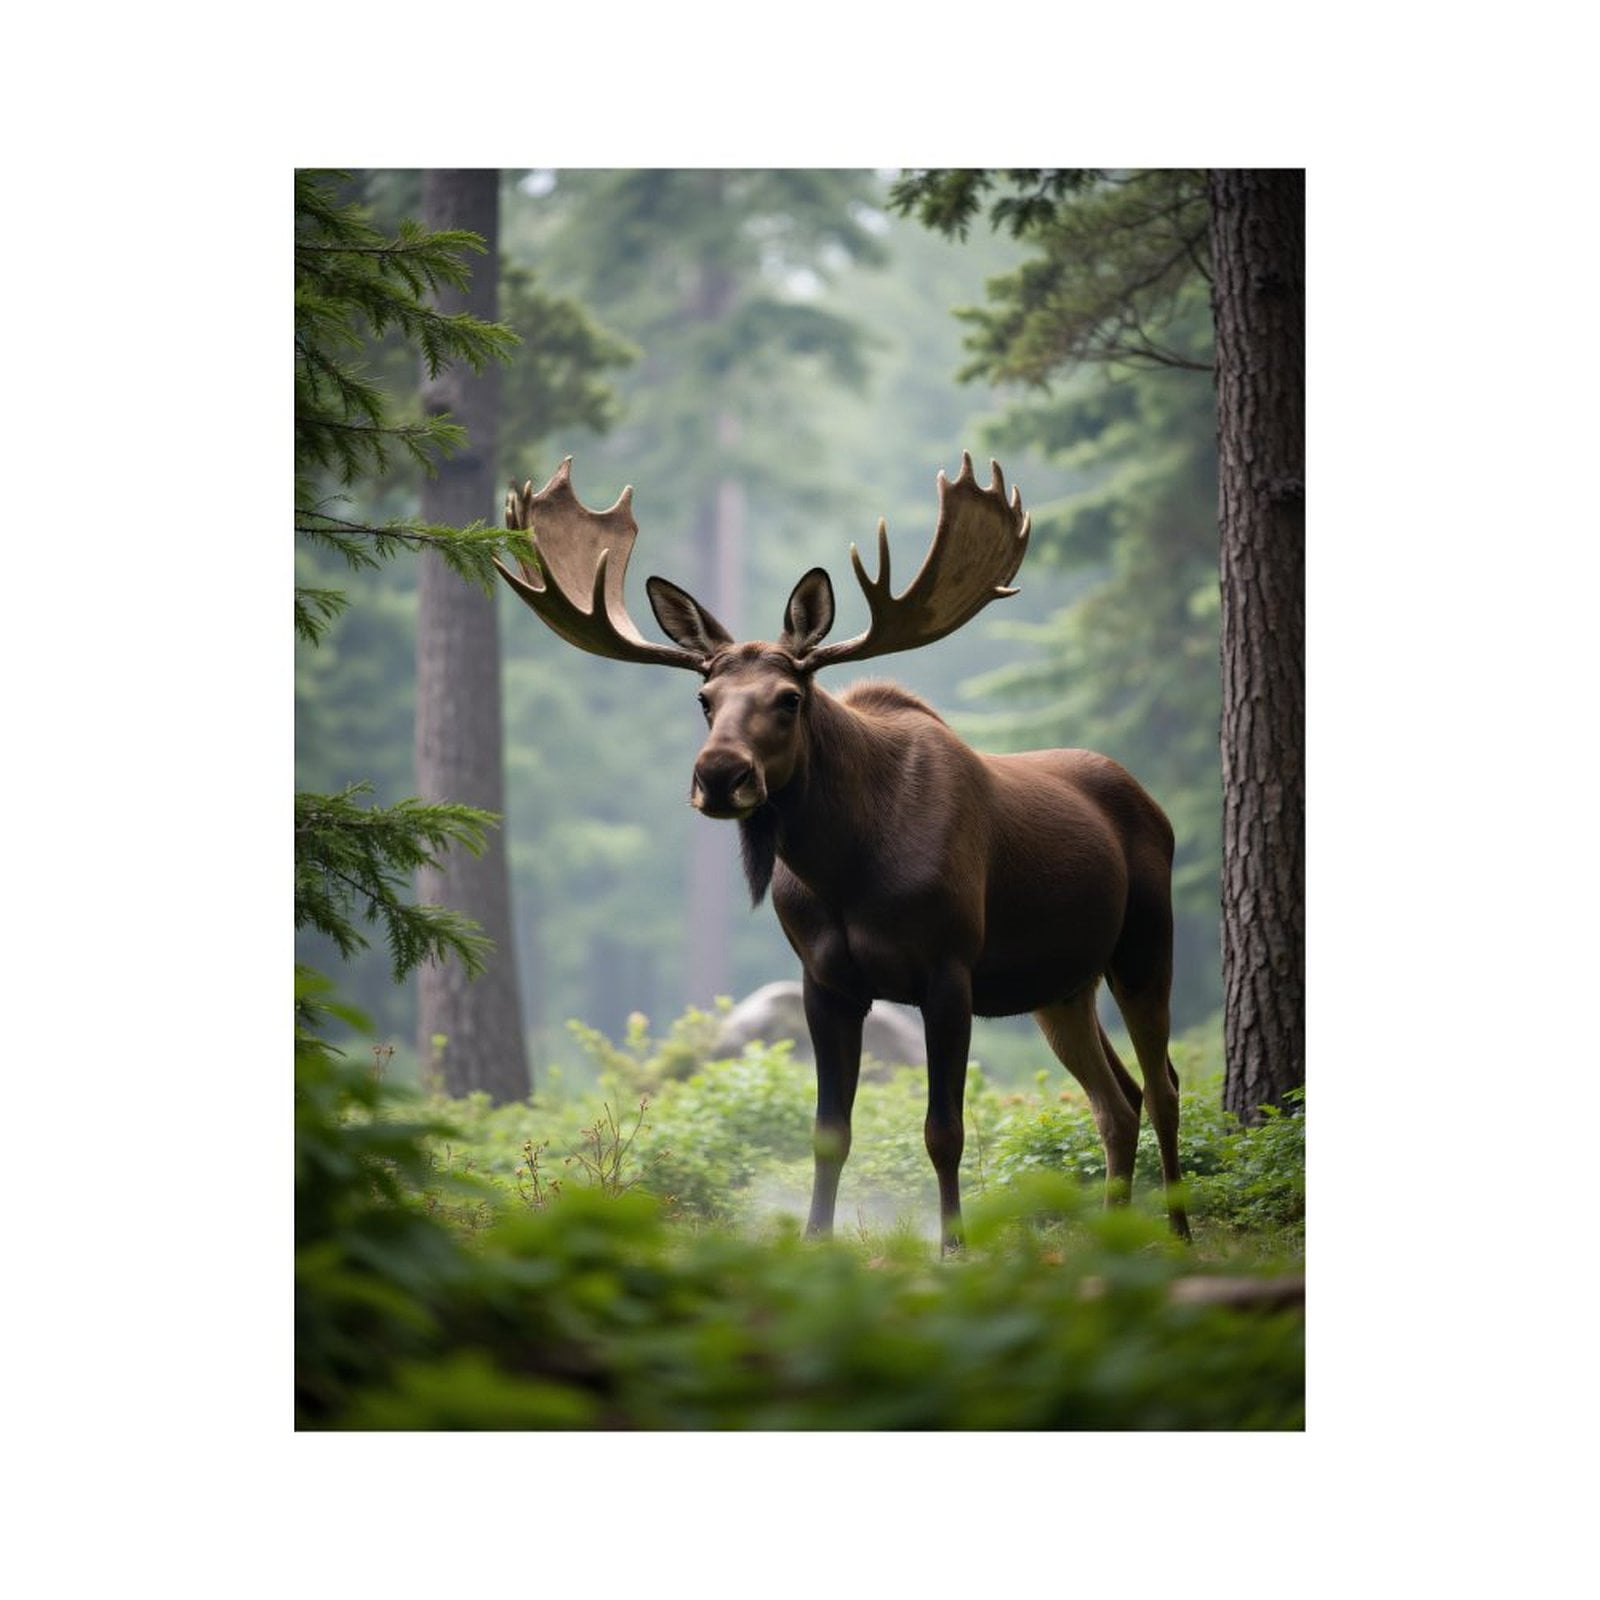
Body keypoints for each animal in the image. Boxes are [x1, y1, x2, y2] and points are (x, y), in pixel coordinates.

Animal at [497, 453, 1190, 1250]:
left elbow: (944, 1130)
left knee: (1164, 1085)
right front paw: (815, 1242)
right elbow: (830, 1130)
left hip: (1145, 942)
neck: (849, 869)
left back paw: (1178, 1231)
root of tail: (1152, 804)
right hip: (1062, 985)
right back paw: (1114, 1232)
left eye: (789, 698)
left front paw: (953, 1246)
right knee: (1117, 1098)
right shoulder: (824, 979)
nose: (720, 775)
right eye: (704, 700)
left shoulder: (949, 968)